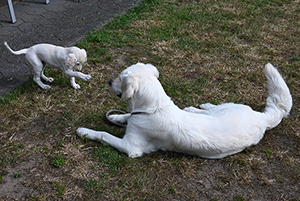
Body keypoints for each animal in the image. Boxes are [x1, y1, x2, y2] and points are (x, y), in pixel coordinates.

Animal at [76, 62, 292, 159]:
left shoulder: (131, 147)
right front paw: (116, 116)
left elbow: (104, 134)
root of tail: (262, 117)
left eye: (120, 78)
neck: (153, 108)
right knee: (212, 108)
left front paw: (85, 131)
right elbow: (127, 115)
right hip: (231, 106)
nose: (109, 81)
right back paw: (198, 107)